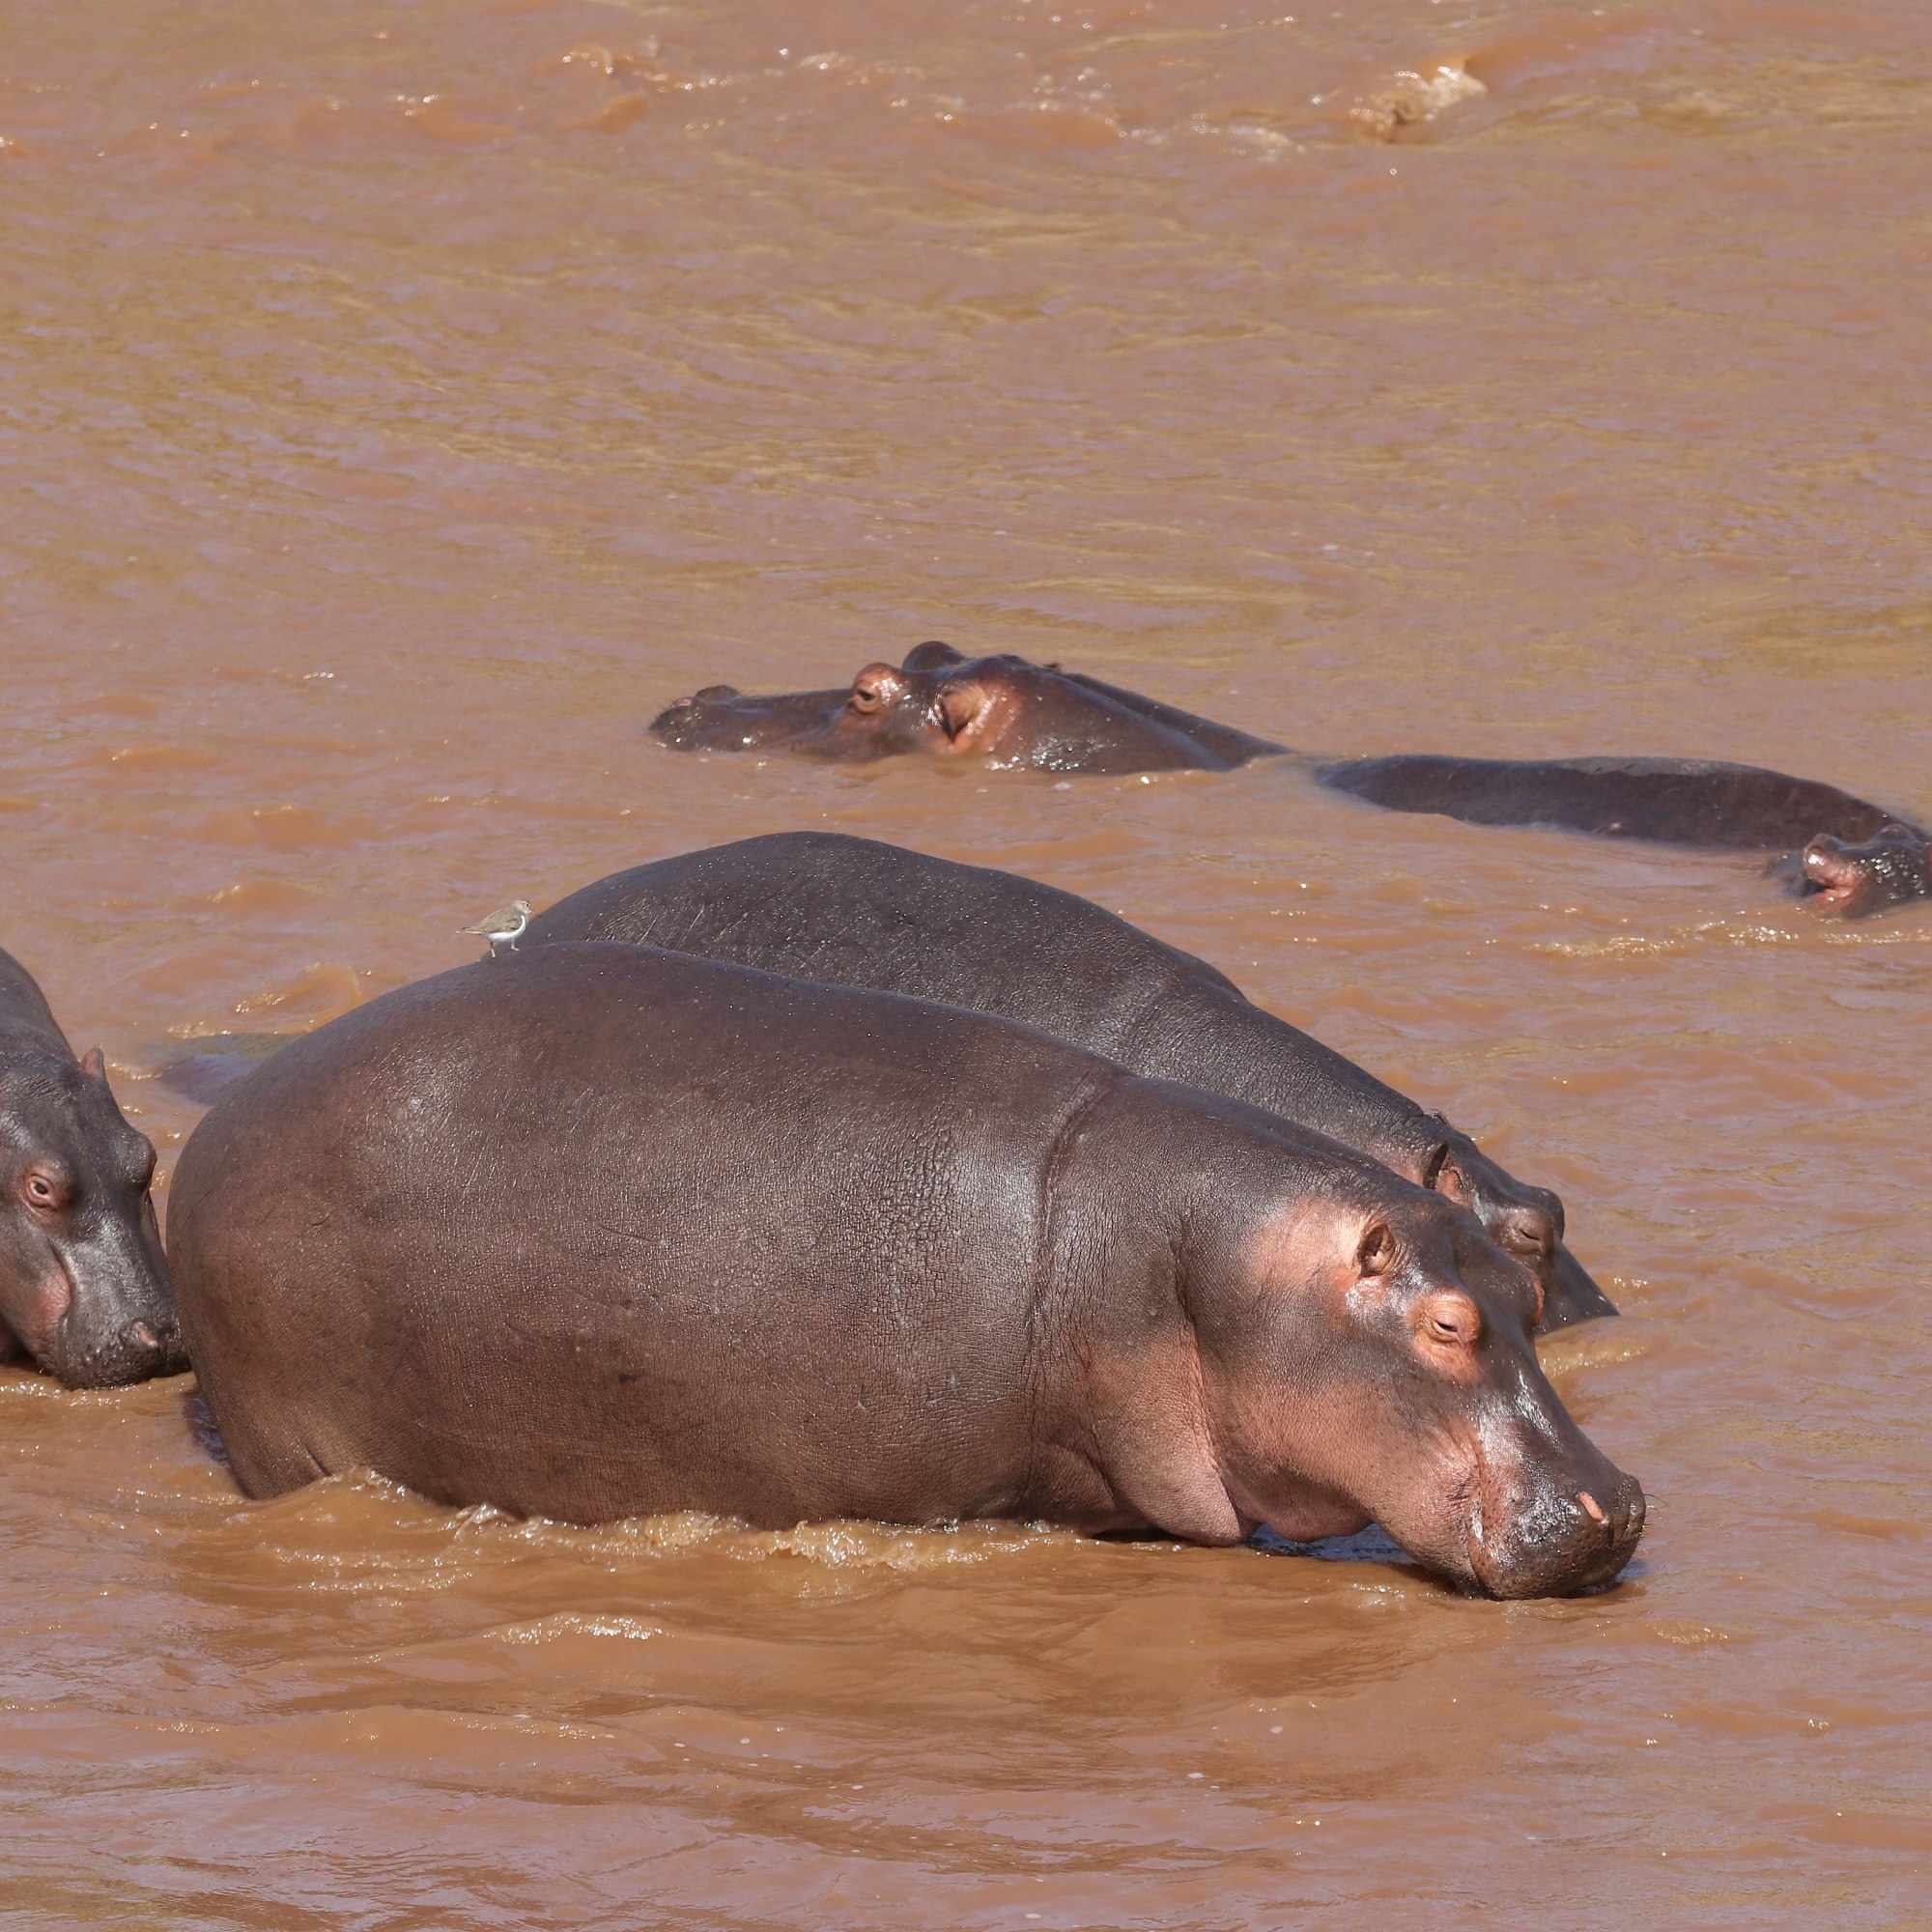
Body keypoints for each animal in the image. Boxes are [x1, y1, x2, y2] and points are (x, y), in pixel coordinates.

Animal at [167, 944, 1642, 1597]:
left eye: (1526, 1286)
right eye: (1445, 1324)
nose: (1618, 1505)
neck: (1198, 1269)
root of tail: (218, 1129)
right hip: (284, 1430)